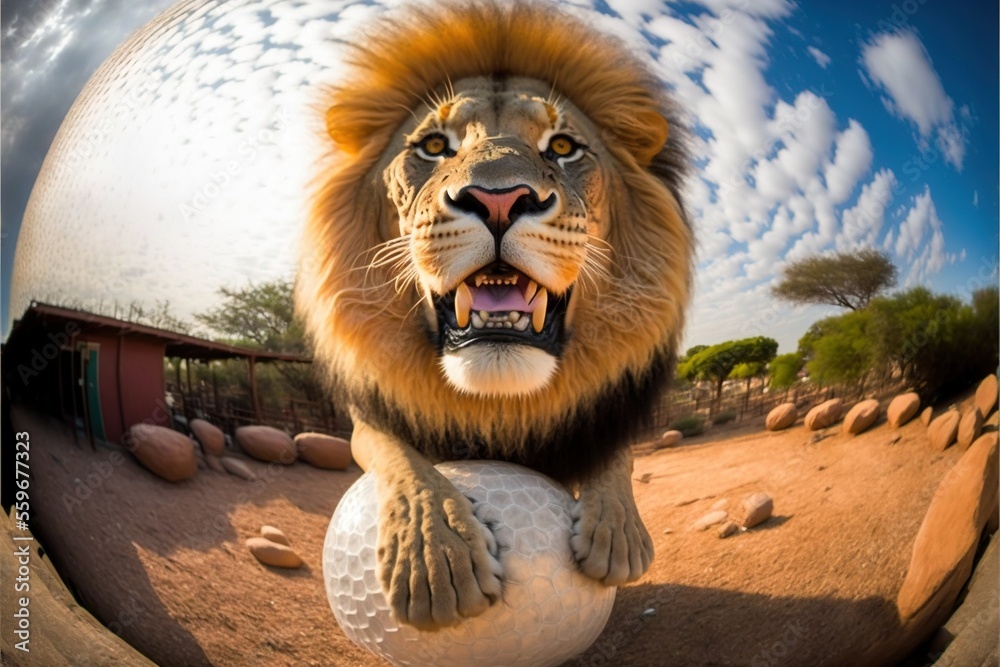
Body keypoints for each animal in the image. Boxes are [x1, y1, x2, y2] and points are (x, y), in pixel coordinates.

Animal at [296, 0, 693, 631]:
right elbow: (397, 456)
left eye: (563, 147)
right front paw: (435, 557)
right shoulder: (370, 417)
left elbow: (619, 457)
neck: (498, 403)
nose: (500, 200)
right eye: (434, 145)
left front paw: (617, 536)